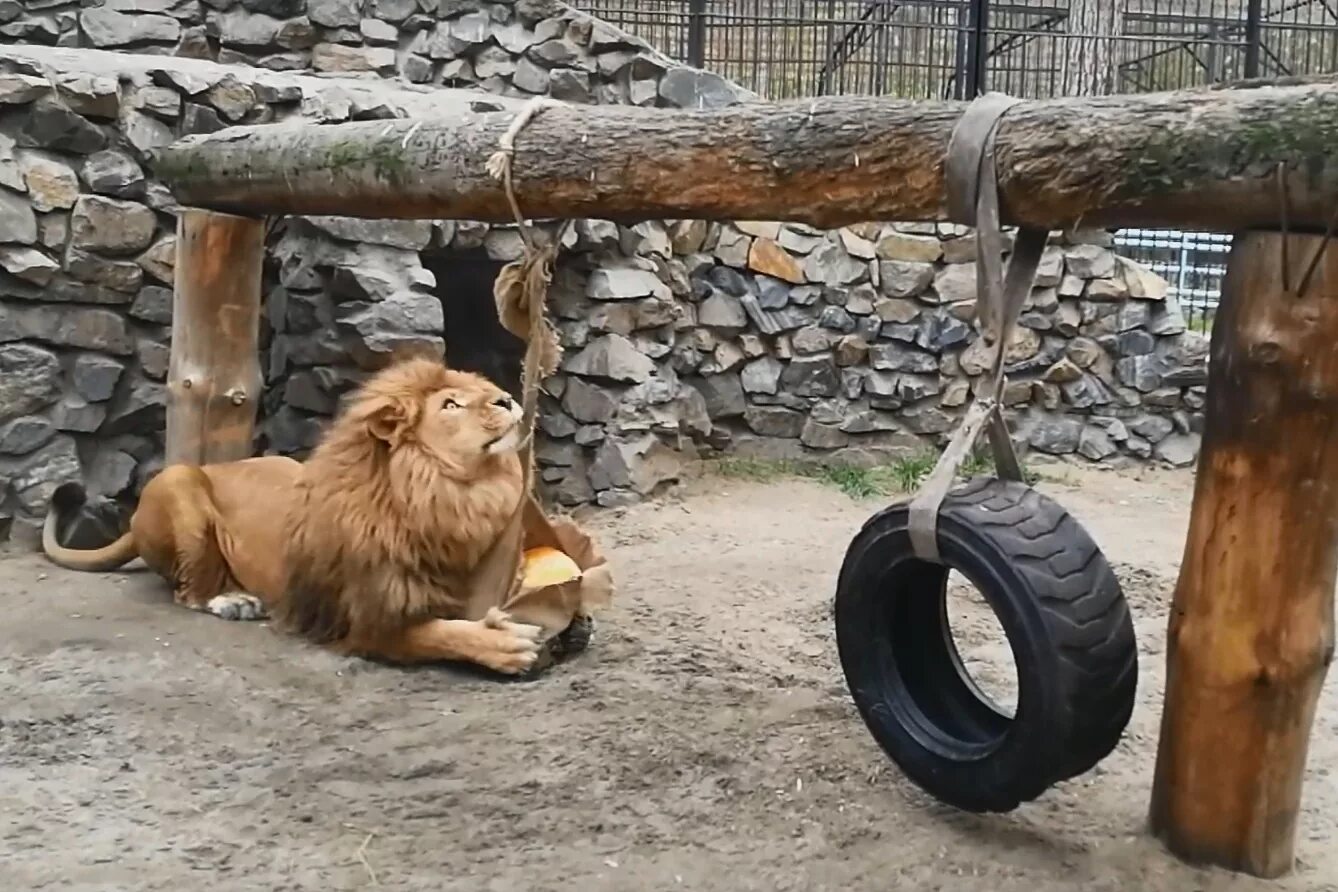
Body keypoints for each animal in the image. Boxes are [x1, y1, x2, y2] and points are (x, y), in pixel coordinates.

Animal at [40, 355, 553, 676]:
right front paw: (506, 644)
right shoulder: (366, 621)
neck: (449, 495)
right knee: (187, 591)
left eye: (484, 390)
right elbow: (440, 634)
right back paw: (232, 601)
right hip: (180, 485)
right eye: (450, 404)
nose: (508, 399)